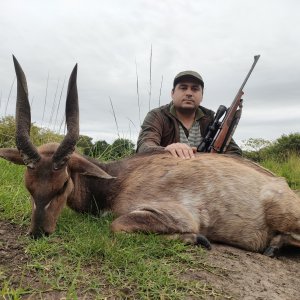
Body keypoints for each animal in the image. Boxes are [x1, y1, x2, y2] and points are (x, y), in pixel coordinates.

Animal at [0, 56, 300, 258]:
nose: (39, 233)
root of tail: (283, 186)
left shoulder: (174, 215)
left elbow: (117, 225)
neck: (119, 179)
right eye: (28, 186)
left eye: (62, 184)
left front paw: (198, 239)